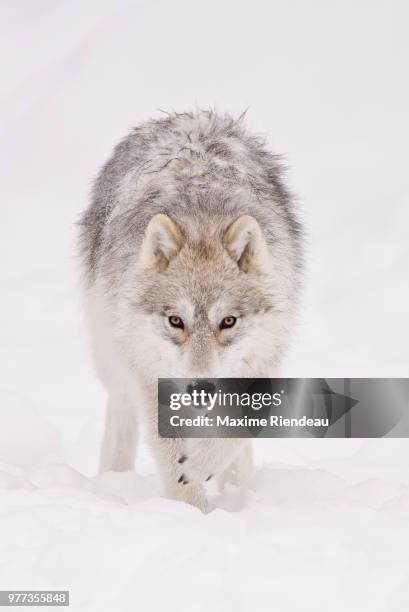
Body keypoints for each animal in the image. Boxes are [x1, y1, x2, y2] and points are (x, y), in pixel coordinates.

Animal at [79, 110, 302, 512]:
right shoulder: (150, 378)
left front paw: (201, 469)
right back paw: (113, 478)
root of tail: (189, 115)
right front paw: (192, 515)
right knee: (120, 407)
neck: (203, 220)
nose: (200, 390)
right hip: (112, 349)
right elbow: (175, 466)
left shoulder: (262, 365)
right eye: (175, 321)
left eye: (227, 321)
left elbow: (237, 428)